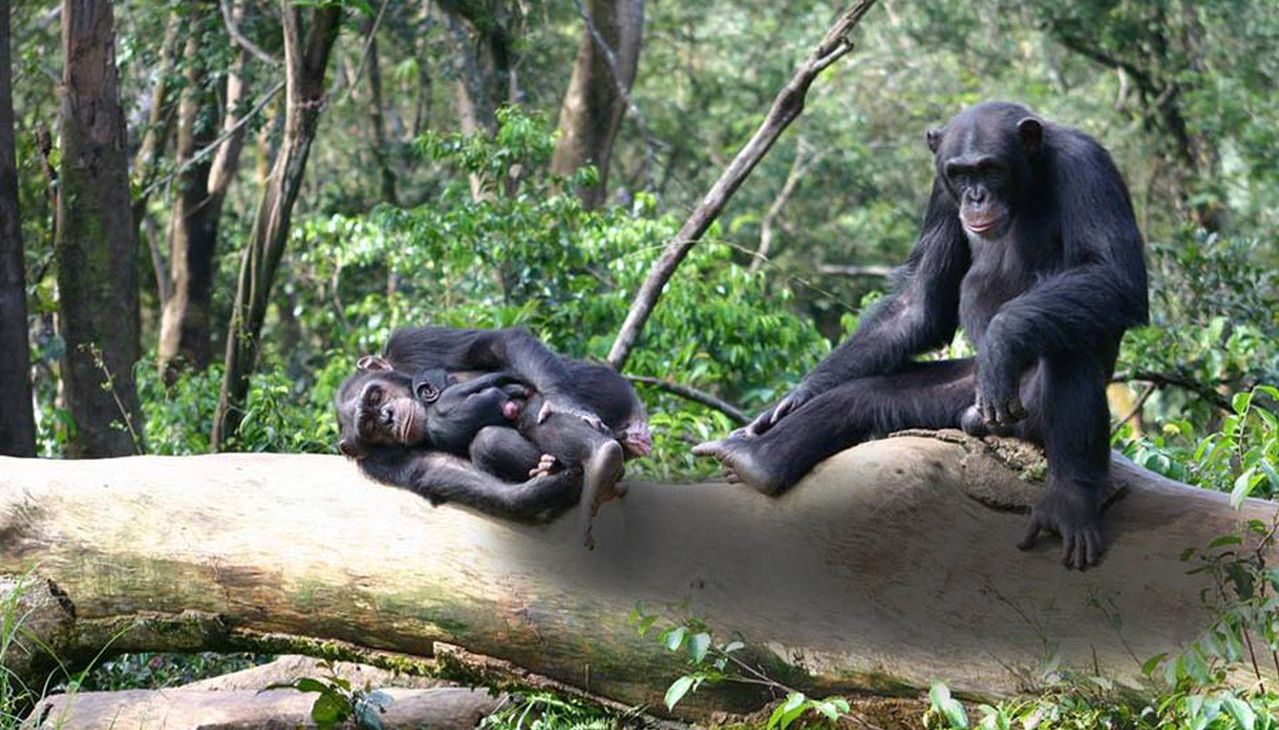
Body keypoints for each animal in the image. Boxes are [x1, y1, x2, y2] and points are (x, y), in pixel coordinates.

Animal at [337, 326, 649, 536]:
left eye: (375, 397)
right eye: (369, 426)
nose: (387, 417)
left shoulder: (409, 343)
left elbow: (493, 343)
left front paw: (564, 402)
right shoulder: (379, 464)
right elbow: (439, 470)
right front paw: (542, 490)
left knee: (532, 406)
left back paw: (600, 458)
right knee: (489, 441)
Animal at [695, 101, 1156, 570]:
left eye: (990, 169)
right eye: (960, 173)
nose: (975, 196)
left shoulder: (1087, 166)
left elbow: (1112, 274)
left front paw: (1002, 339)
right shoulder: (939, 193)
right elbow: (919, 305)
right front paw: (793, 398)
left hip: (1026, 409)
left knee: (1073, 345)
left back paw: (1070, 498)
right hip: (964, 399)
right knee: (864, 396)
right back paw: (755, 459)